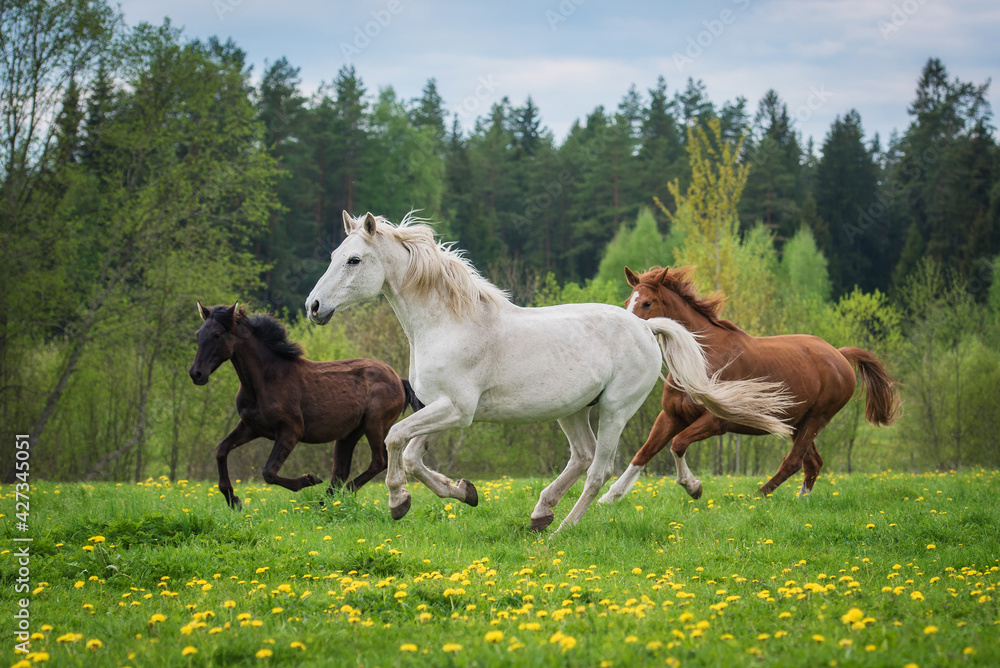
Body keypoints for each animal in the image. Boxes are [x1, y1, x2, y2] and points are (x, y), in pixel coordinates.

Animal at [188, 302, 421, 509]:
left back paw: (338, 497)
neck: (265, 380)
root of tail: (399, 380)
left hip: (375, 424)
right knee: (341, 470)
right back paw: (326, 501)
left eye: (217, 335)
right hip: (350, 433)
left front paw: (309, 479)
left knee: (379, 461)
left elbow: (268, 472)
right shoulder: (251, 426)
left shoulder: (291, 431)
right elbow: (221, 449)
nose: (196, 374)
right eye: (198, 334)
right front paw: (232, 499)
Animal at [304, 211, 796, 532]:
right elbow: (411, 454)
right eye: (335, 254)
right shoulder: (438, 408)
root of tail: (645, 325)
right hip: (572, 409)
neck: (449, 323)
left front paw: (398, 501)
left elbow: (394, 441)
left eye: (353, 260)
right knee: (581, 456)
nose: (313, 307)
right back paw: (541, 513)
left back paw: (565, 529)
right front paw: (464, 492)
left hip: (615, 409)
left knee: (600, 467)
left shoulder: (457, 410)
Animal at [598, 266, 900, 504]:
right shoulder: (671, 415)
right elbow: (644, 453)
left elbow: (678, 444)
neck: (699, 357)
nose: (623, 330)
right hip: (796, 422)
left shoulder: (717, 420)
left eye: (647, 303)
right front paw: (609, 497)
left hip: (817, 418)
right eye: (628, 299)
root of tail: (839, 354)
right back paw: (801, 500)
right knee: (812, 463)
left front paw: (693, 487)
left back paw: (758, 496)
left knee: (794, 461)